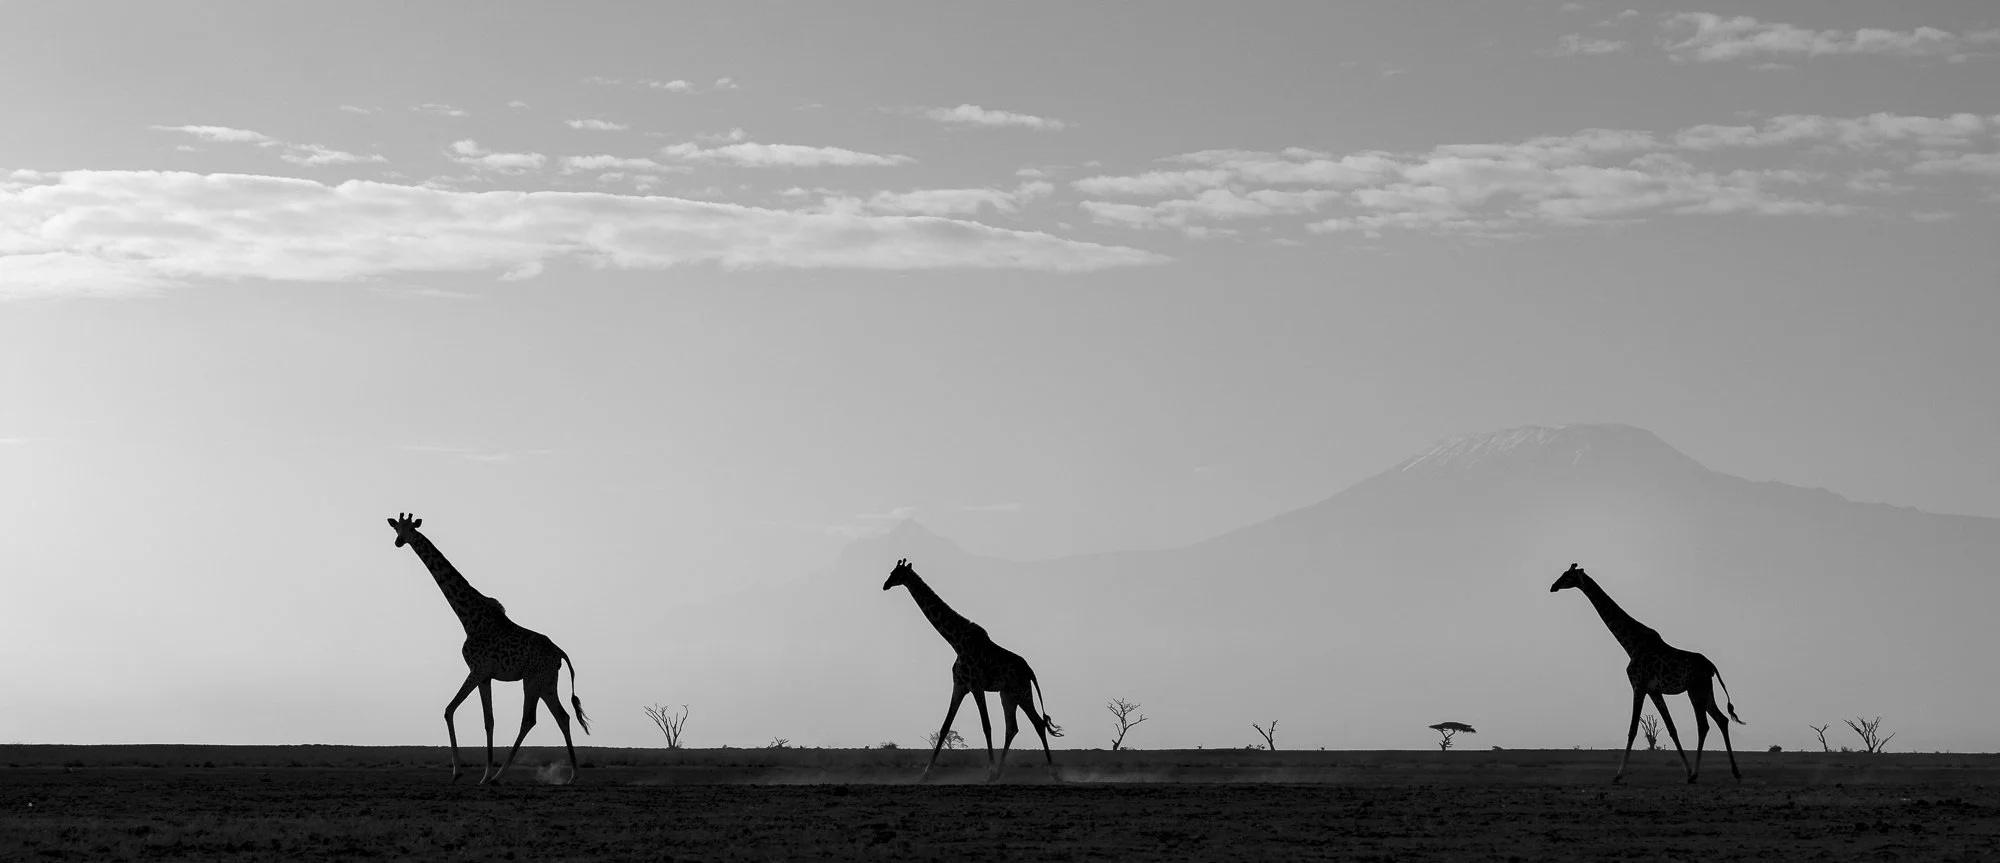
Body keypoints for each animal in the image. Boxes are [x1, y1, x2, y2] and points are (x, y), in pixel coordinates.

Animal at [387, 513, 591, 785]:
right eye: (396, 528)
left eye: (410, 528)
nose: (399, 541)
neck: (468, 617)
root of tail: (560, 653)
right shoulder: (485, 676)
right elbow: (488, 721)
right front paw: (482, 775)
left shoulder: (477, 669)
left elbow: (449, 710)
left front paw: (460, 773)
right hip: (547, 681)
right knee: (563, 716)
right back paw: (573, 776)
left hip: (532, 679)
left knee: (529, 719)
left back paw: (500, 776)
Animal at [883, 558, 1064, 781]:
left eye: (896, 573)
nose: (885, 585)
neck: (956, 641)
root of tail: (1030, 671)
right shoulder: (960, 685)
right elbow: (945, 727)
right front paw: (926, 773)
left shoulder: (976, 685)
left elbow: (986, 726)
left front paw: (989, 771)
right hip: (1007, 694)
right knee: (1012, 728)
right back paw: (1000, 774)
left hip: (1021, 691)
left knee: (1037, 723)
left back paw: (1052, 774)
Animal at [1550, 562, 1744, 784]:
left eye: (1568, 576)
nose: (1553, 587)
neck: (1630, 644)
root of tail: (1712, 666)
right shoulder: (1654, 690)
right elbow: (1672, 728)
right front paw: (1686, 771)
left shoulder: (1638, 685)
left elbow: (1633, 729)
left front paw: (1618, 775)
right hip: (1704, 689)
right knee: (1721, 719)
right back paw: (1732, 772)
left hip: (1695, 689)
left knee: (1704, 725)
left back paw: (1697, 774)